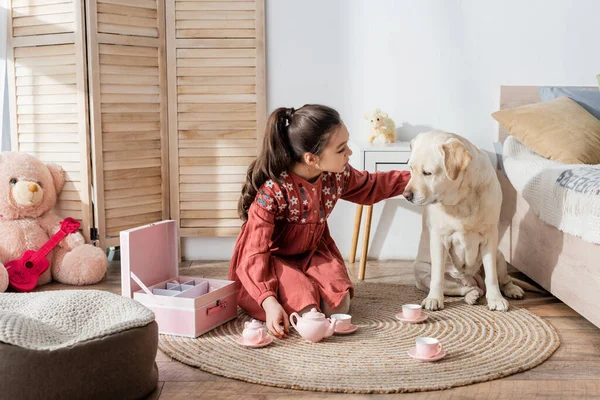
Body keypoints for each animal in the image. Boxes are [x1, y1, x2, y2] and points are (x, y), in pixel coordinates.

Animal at [404, 130, 528, 310]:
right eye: (410, 169)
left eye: (427, 173)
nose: (406, 195)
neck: (461, 199)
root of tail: (472, 279)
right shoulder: (439, 239)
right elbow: (437, 277)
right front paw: (434, 299)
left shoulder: (490, 237)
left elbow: (491, 276)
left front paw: (496, 299)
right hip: (421, 271)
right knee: (464, 288)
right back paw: (472, 295)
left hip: (499, 255)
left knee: (503, 279)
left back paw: (511, 289)